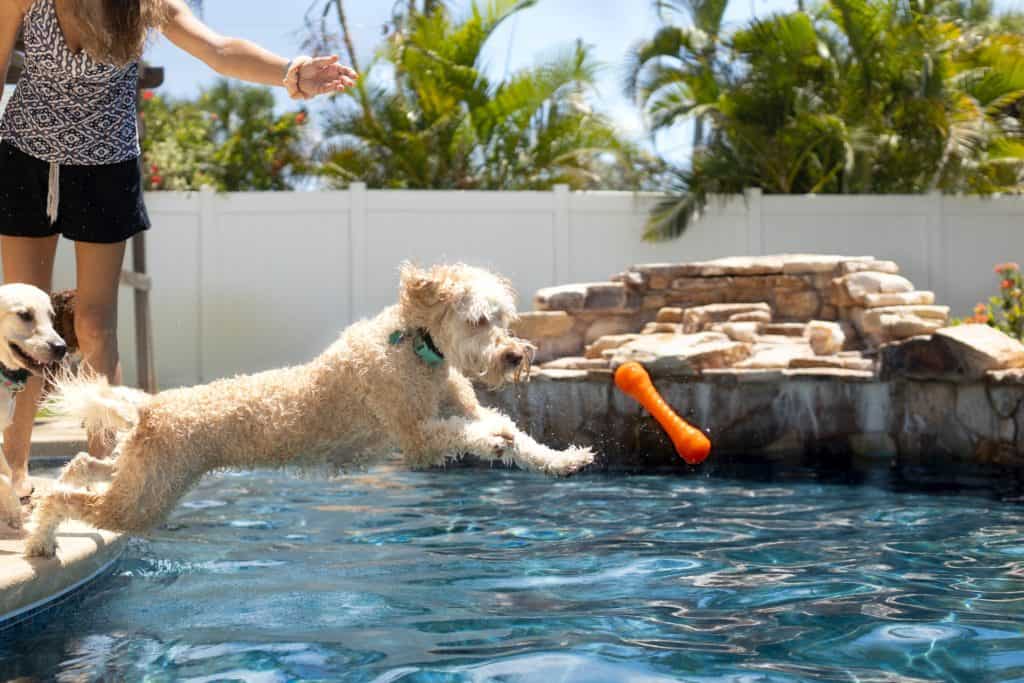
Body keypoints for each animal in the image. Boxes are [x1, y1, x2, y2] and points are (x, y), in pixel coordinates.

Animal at [0, 286, 68, 532]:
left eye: (51, 317)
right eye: (24, 315)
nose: (61, 348)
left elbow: (7, 472)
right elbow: (4, 477)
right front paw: (13, 510)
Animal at [28, 262, 598, 557]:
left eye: (503, 318)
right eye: (480, 320)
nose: (517, 355)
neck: (417, 348)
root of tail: (152, 404)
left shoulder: (457, 407)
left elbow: (515, 434)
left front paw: (563, 458)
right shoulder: (416, 437)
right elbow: (467, 433)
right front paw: (493, 443)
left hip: (143, 476)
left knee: (85, 466)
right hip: (144, 500)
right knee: (65, 498)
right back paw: (37, 537)